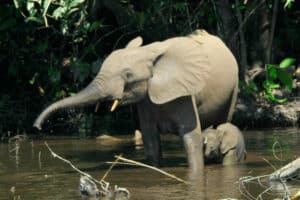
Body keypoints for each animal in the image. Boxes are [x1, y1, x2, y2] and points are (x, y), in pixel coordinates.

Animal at [34, 29, 238, 173]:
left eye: (128, 75)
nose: (37, 127)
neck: (148, 52)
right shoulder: (145, 99)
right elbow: (150, 139)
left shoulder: (184, 93)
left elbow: (190, 136)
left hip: (234, 87)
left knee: (223, 122)